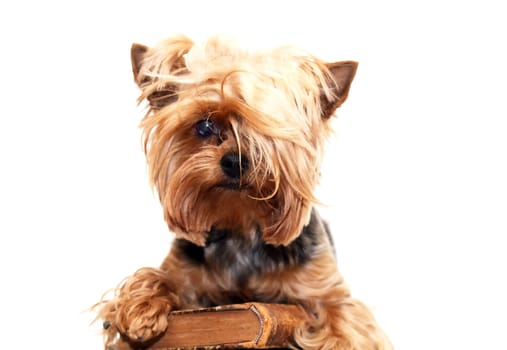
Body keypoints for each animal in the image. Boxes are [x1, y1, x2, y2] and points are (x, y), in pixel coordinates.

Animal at [96, 34, 392, 348]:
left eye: (268, 130)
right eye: (205, 126)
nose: (235, 161)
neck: (241, 223)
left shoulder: (325, 289)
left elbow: (344, 320)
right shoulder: (186, 274)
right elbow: (159, 277)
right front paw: (138, 307)